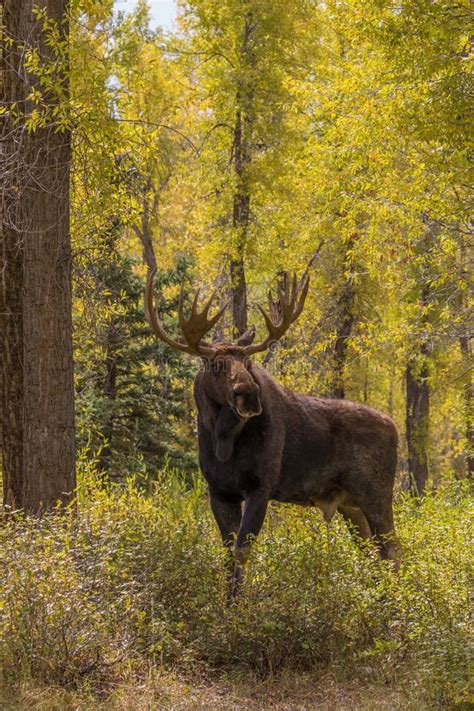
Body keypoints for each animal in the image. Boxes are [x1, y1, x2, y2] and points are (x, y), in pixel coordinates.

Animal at [145, 270, 400, 596]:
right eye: (217, 364)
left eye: (248, 362)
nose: (249, 395)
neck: (223, 441)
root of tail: (395, 428)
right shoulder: (219, 491)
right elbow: (227, 553)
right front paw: (226, 601)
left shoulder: (261, 487)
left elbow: (242, 551)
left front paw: (239, 604)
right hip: (350, 505)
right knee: (372, 555)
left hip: (376, 494)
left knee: (392, 551)